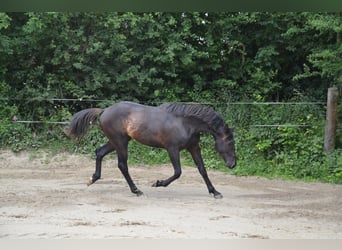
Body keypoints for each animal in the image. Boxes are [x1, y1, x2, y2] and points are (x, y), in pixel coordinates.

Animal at [63, 100, 235, 198]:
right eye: (230, 142)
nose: (233, 164)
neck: (185, 123)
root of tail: (104, 111)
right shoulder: (172, 149)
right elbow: (178, 172)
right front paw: (158, 183)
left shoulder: (193, 147)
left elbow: (202, 170)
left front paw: (215, 192)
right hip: (120, 142)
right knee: (122, 165)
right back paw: (136, 190)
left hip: (116, 141)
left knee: (99, 152)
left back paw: (92, 179)